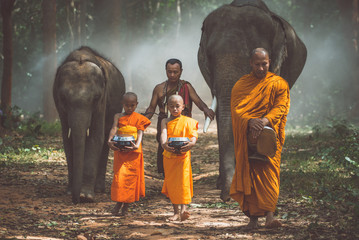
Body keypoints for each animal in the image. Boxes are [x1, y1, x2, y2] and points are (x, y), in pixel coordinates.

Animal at [52, 46, 126, 203]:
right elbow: (67, 139)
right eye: (63, 98)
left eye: (96, 98)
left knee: (106, 138)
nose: (75, 201)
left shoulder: (102, 101)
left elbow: (96, 137)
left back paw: (98, 189)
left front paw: (85, 197)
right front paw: (70, 191)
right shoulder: (59, 104)